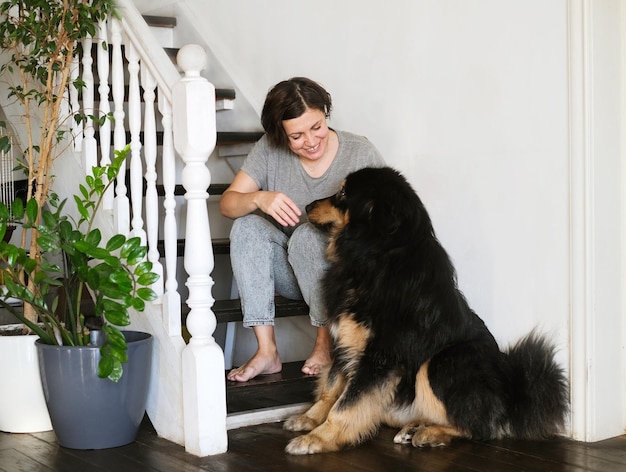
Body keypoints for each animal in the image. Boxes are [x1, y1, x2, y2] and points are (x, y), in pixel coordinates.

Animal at [286, 168, 568, 456]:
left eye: (343, 192)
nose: (307, 206)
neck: (377, 257)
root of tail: (512, 393)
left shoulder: (380, 356)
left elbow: (346, 405)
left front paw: (317, 438)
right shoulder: (347, 342)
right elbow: (331, 389)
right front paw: (310, 418)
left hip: (441, 361)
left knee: (480, 428)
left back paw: (431, 433)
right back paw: (414, 428)